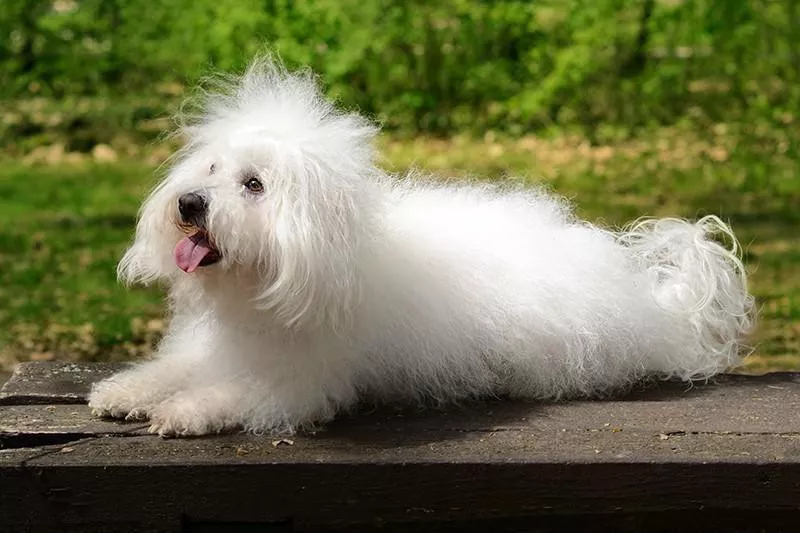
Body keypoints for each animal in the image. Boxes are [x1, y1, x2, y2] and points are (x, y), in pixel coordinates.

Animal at [89, 58, 756, 434]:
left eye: (253, 185)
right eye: (209, 168)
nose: (189, 205)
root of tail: (647, 299)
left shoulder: (298, 381)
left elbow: (234, 394)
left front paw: (180, 413)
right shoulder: (211, 348)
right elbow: (171, 368)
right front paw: (123, 393)